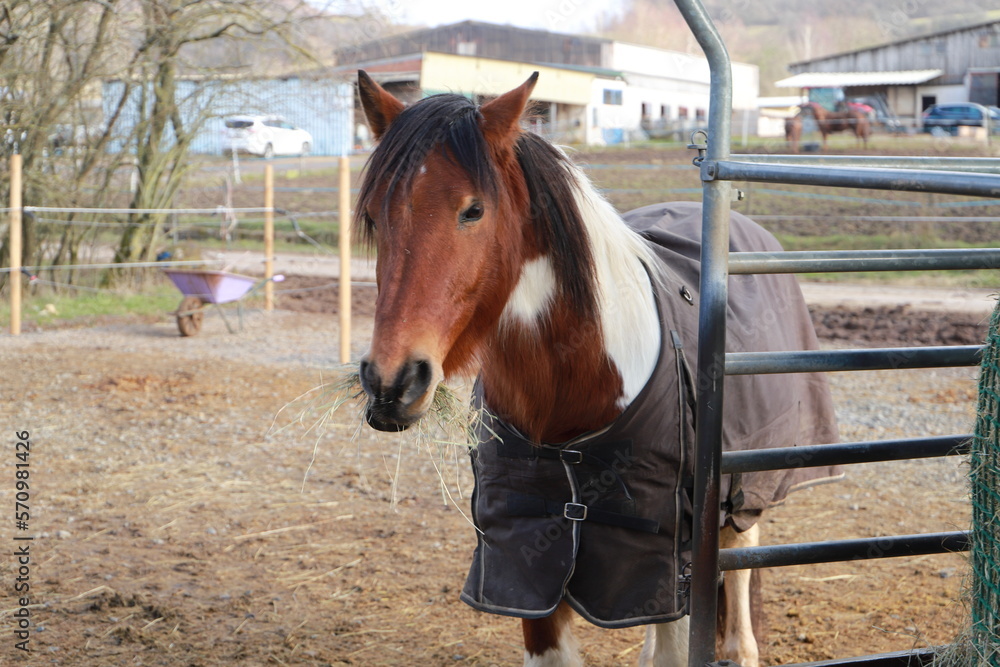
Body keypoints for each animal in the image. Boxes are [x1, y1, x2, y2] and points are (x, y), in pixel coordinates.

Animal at [354, 71, 840, 667]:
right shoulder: (529, 565)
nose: (391, 383)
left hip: (742, 494)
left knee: (740, 571)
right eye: (373, 215)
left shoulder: (663, 561)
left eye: (473, 210)